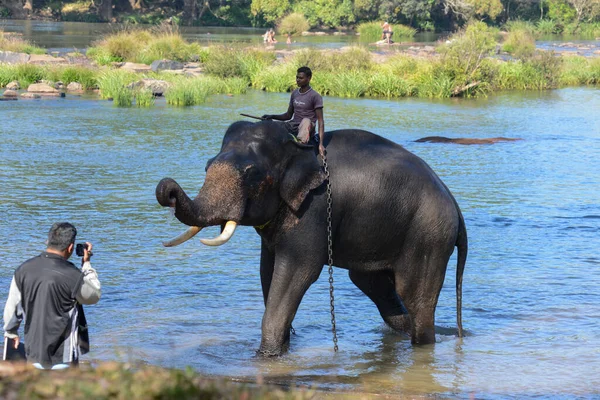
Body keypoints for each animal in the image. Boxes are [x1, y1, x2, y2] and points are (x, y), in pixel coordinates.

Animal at [156, 119, 468, 356]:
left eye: (251, 173)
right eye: (208, 165)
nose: (166, 188)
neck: (296, 147)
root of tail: (454, 203)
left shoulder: (313, 209)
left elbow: (298, 270)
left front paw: (266, 357)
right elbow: (267, 272)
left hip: (428, 235)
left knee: (415, 297)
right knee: (374, 286)